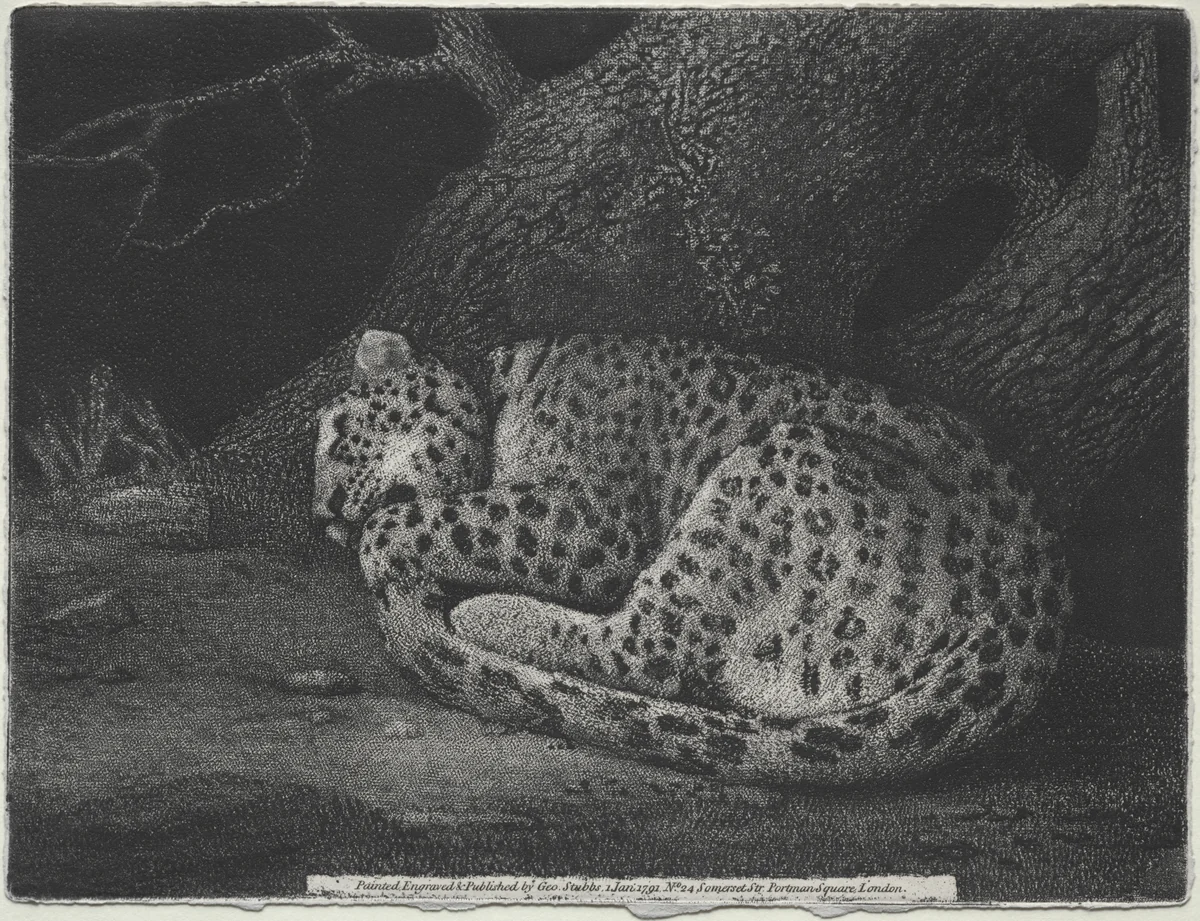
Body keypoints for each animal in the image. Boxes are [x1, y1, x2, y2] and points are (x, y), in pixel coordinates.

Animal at [313, 328, 1070, 786]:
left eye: (339, 436)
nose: (322, 520)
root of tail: (1028, 617)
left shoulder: (590, 521)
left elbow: (426, 517)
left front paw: (384, 549)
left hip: (771, 469)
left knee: (648, 649)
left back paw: (481, 613)